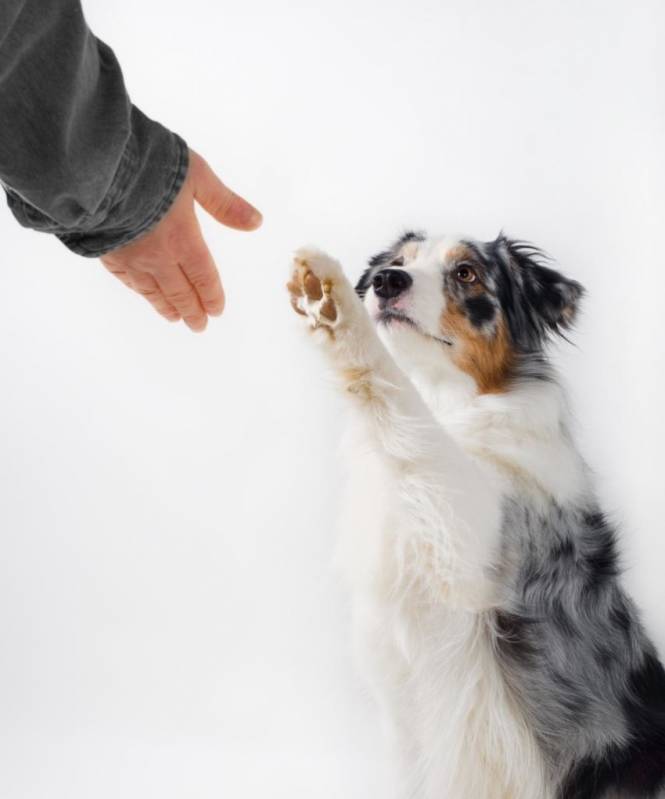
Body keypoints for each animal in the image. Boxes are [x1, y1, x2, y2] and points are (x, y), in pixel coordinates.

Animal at [286, 233, 664, 799]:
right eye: (398, 263)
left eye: (466, 273)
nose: (386, 282)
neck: (452, 404)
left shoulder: (470, 544)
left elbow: (411, 419)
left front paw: (333, 304)